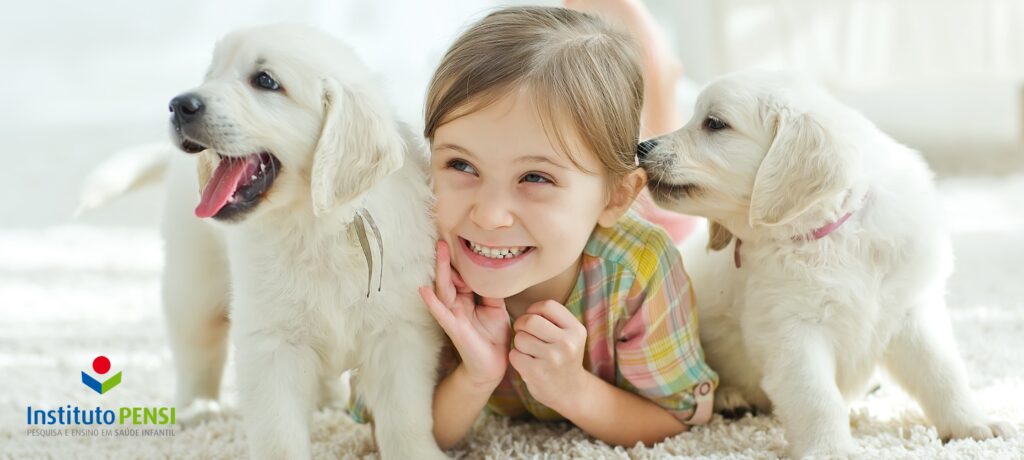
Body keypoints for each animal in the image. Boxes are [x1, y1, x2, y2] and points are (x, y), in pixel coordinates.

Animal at [156, 25, 444, 458]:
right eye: (211, 74)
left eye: (265, 81)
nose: (178, 104)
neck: (314, 225)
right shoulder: (270, 343)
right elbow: (278, 431)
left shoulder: (400, 331)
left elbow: (404, 415)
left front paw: (416, 452)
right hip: (193, 280)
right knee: (196, 348)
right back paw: (197, 409)